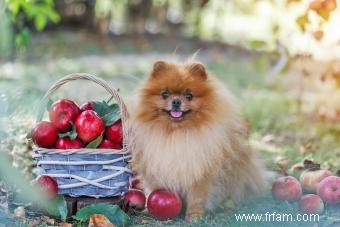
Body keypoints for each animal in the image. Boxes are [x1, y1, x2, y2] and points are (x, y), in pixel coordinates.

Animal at [127, 60, 266, 220]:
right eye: (165, 94)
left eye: (189, 96)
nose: (176, 101)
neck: (176, 134)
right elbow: (155, 189)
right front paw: (150, 208)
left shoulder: (201, 171)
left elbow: (197, 196)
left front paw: (194, 215)